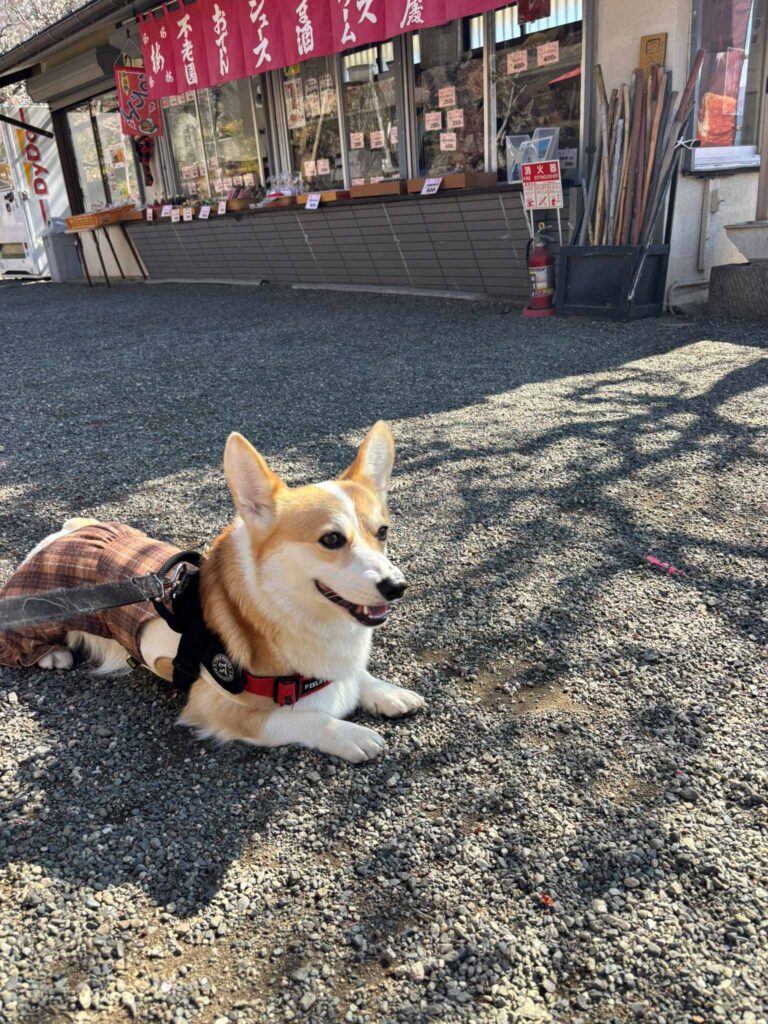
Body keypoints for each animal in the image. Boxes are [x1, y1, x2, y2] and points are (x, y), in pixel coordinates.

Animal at [0, 422, 424, 762]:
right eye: (332, 539)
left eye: (382, 532)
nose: (397, 587)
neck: (285, 609)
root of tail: (68, 530)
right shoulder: (218, 707)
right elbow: (307, 719)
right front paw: (351, 734)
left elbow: (359, 676)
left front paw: (387, 692)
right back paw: (53, 655)